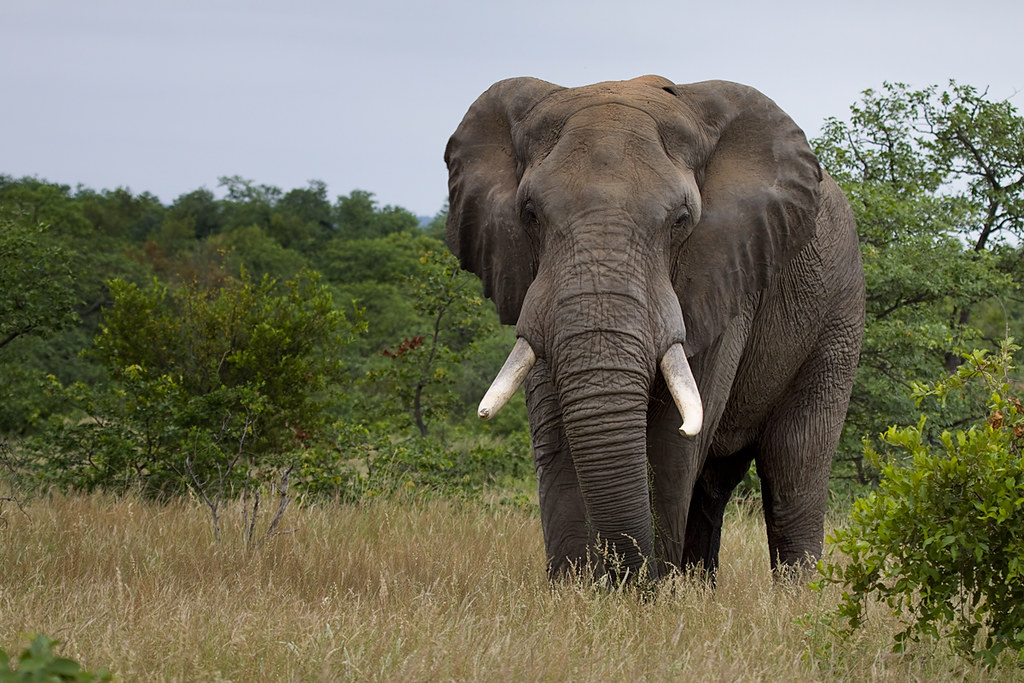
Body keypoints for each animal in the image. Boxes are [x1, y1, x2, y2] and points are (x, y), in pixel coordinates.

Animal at [444, 75, 865, 582]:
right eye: (529, 214)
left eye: (681, 220)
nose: (620, 577)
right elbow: (555, 429)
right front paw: (576, 589)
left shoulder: (724, 276)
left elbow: (671, 442)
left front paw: (642, 591)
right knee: (714, 485)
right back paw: (698, 586)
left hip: (838, 311)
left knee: (795, 463)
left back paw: (795, 595)